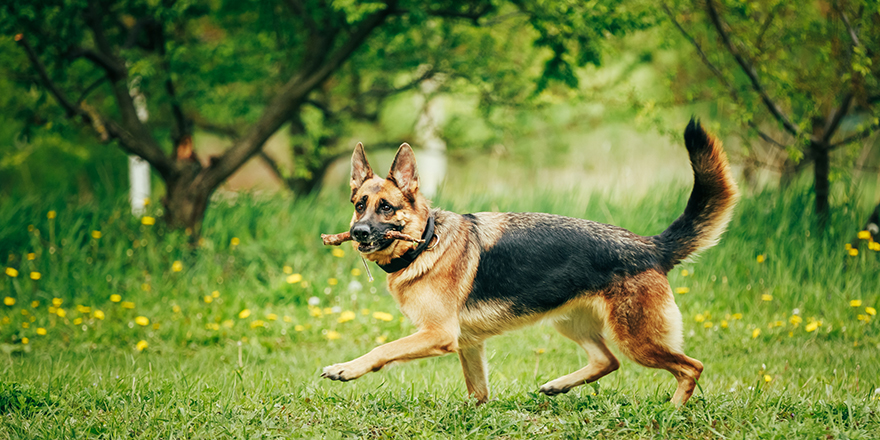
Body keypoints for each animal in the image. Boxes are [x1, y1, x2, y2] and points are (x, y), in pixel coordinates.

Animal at [322, 119, 736, 406]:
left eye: (386, 208)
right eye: (359, 204)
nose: (358, 232)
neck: (425, 243)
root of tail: (651, 246)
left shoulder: (438, 334)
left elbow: (382, 350)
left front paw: (345, 368)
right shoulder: (468, 344)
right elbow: (478, 392)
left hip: (637, 339)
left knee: (690, 366)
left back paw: (673, 410)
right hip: (571, 323)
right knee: (608, 361)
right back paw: (559, 385)